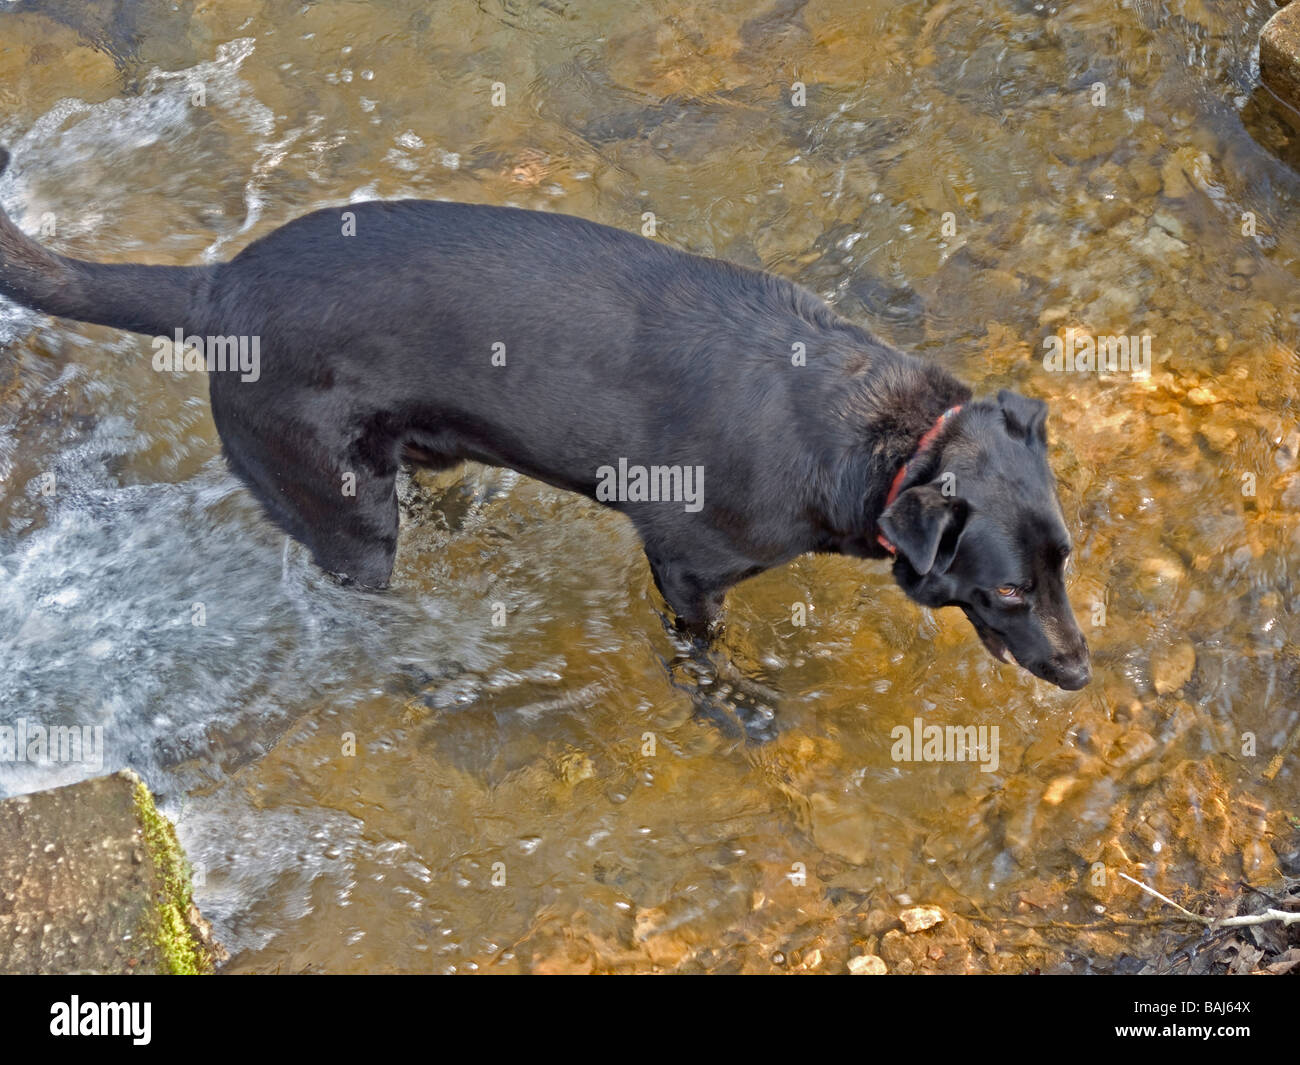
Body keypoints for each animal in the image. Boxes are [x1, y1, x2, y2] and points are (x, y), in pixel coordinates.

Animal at [0, 147, 1086, 691]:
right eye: (1007, 592)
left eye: (1065, 564)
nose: (1082, 673)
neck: (880, 438)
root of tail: (215, 287)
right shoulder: (685, 562)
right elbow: (703, 649)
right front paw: (734, 705)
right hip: (342, 511)